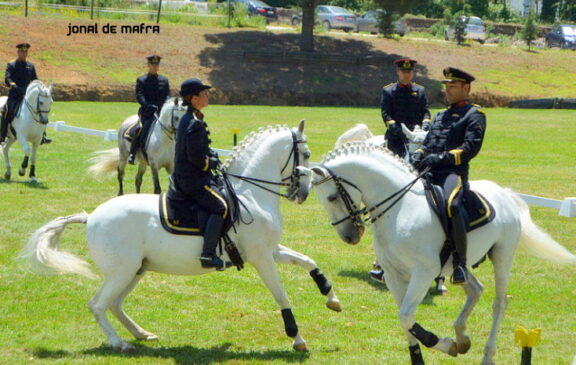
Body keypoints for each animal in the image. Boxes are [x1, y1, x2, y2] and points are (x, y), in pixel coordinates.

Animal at [22, 122, 340, 352]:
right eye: (307, 155)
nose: (302, 194)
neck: (251, 194)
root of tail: (91, 216)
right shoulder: (261, 257)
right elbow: (281, 294)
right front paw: (297, 338)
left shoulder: (269, 250)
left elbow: (307, 260)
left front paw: (331, 297)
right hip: (122, 270)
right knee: (98, 305)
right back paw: (120, 343)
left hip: (135, 270)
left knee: (114, 304)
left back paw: (142, 334)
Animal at [310, 141, 576, 364]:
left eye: (332, 197)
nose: (349, 237)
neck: (400, 207)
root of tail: (506, 194)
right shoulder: (394, 275)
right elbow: (404, 320)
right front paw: (431, 352)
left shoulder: (423, 272)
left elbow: (406, 317)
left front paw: (445, 345)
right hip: (460, 264)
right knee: (475, 289)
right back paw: (462, 337)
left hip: (502, 257)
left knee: (499, 304)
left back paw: (487, 355)